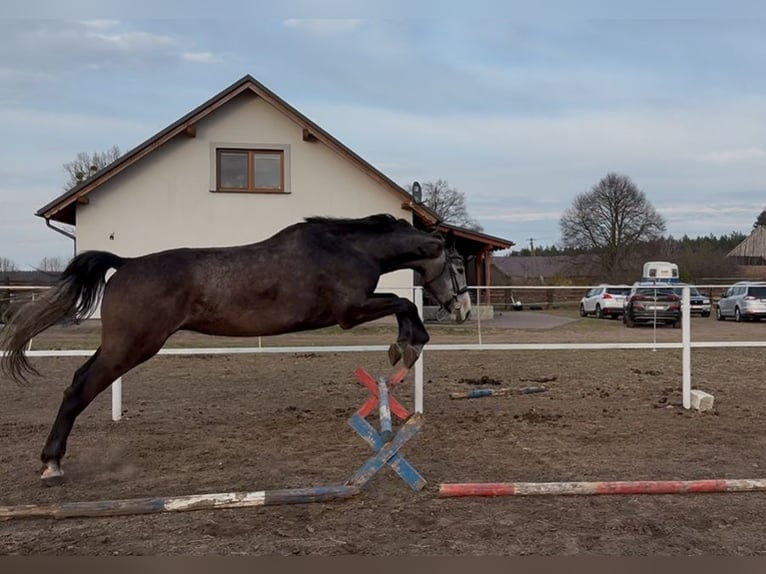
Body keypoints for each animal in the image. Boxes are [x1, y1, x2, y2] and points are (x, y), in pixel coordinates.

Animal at [0, 213, 471, 484]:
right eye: (459, 265)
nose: (463, 309)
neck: (347, 247)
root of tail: (126, 264)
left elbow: (402, 305)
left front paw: (403, 346)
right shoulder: (349, 311)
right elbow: (404, 304)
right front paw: (407, 346)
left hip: (124, 347)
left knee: (78, 382)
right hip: (130, 347)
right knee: (77, 389)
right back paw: (52, 464)